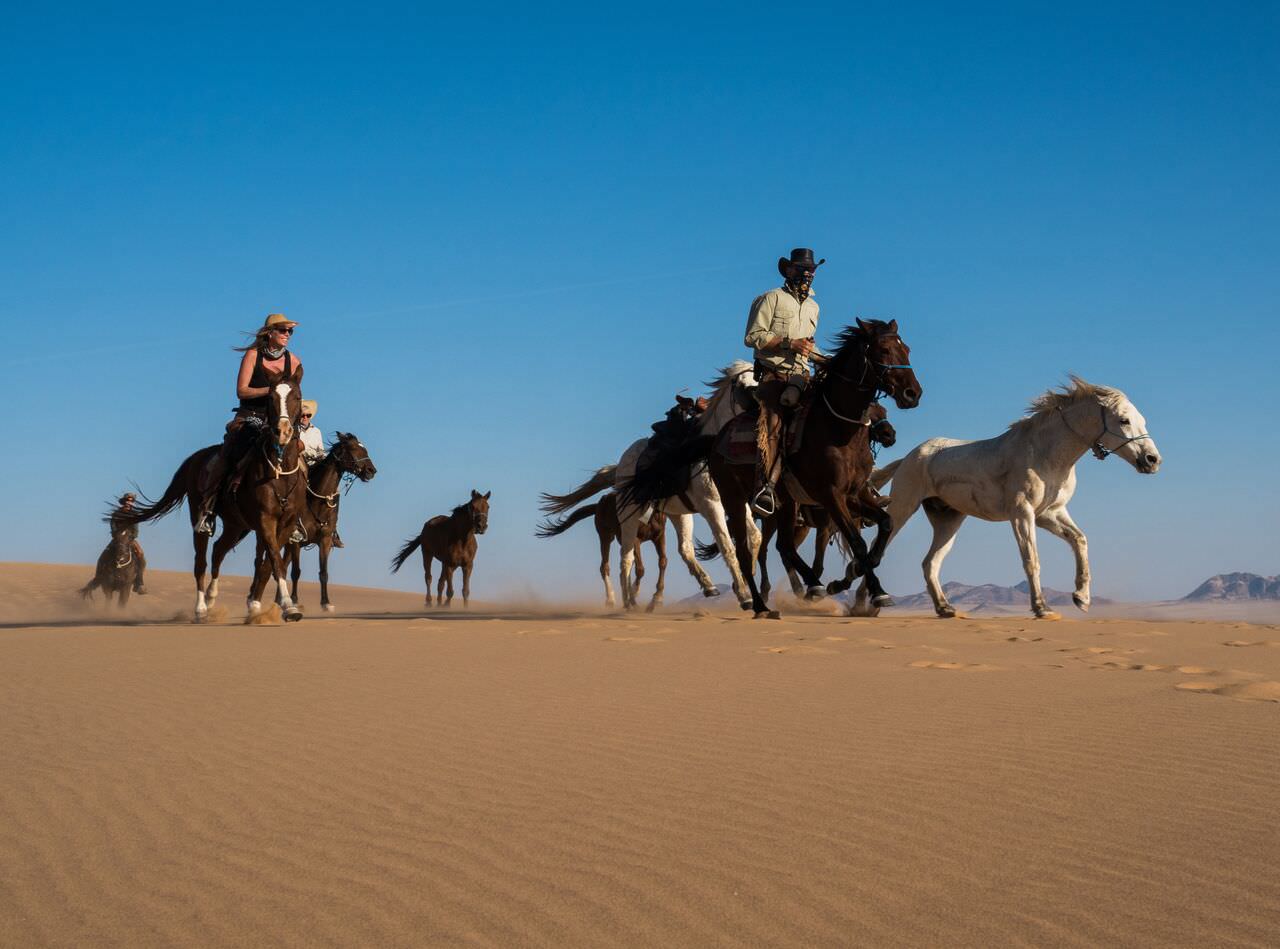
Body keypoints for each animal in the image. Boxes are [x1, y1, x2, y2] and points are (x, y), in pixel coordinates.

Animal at [282, 430, 376, 609]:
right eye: (353, 448)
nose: (371, 470)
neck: (316, 500)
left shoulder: (324, 540)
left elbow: (323, 572)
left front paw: (326, 603)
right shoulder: (296, 541)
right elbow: (296, 572)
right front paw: (295, 600)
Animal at [535, 484, 670, 609]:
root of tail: (599, 504)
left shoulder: (659, 537)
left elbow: (663, 562)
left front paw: (655, 601)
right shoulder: (635, 540)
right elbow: (640, 569)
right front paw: (635, 594)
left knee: (624, 567)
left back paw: (627, 601)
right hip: (606, 537)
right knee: (605, 567)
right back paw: (612, 600)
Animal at [849, 376, 1162, 622]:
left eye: (1142, 420)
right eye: (1124, 420)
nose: (1152, 460)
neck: (1046, 454)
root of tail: (909, 457)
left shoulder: (1051, 513)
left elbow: (1080, 540)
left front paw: (1081, 598)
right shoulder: (1023, 513)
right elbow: (1031, 559)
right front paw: (1043, 608)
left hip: (948, 519)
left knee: (930, 563)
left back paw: (945, 608)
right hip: (903, 508)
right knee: (877, 552)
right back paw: (865, 605)